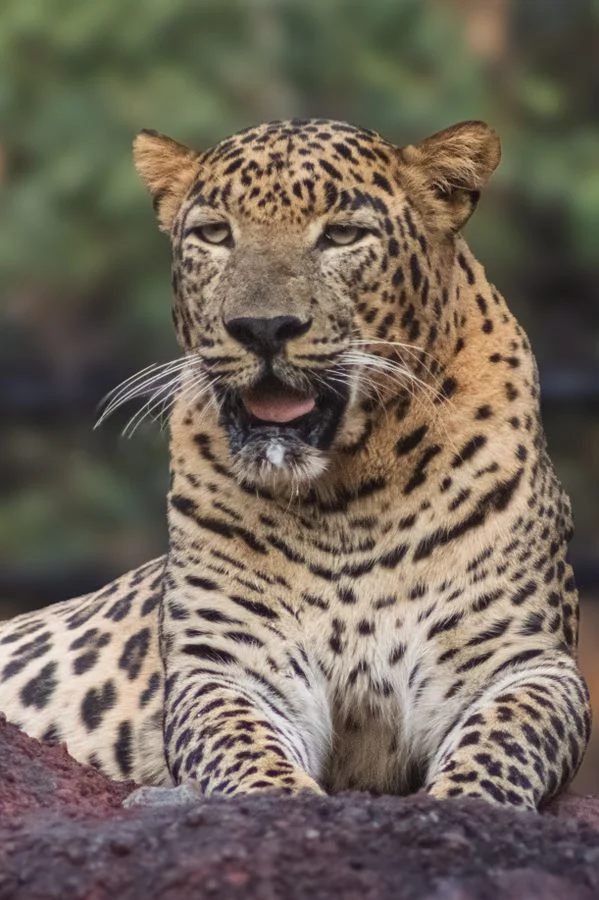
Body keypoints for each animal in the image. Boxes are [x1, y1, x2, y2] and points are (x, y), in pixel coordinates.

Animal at [0, 117, 591, 812]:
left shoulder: (524, 663)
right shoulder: (227, 666)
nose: (263, 328)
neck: (348, 496)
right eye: (215, 234)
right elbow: (244, 750)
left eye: (341, 235)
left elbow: (498, 748)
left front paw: (458, 804)